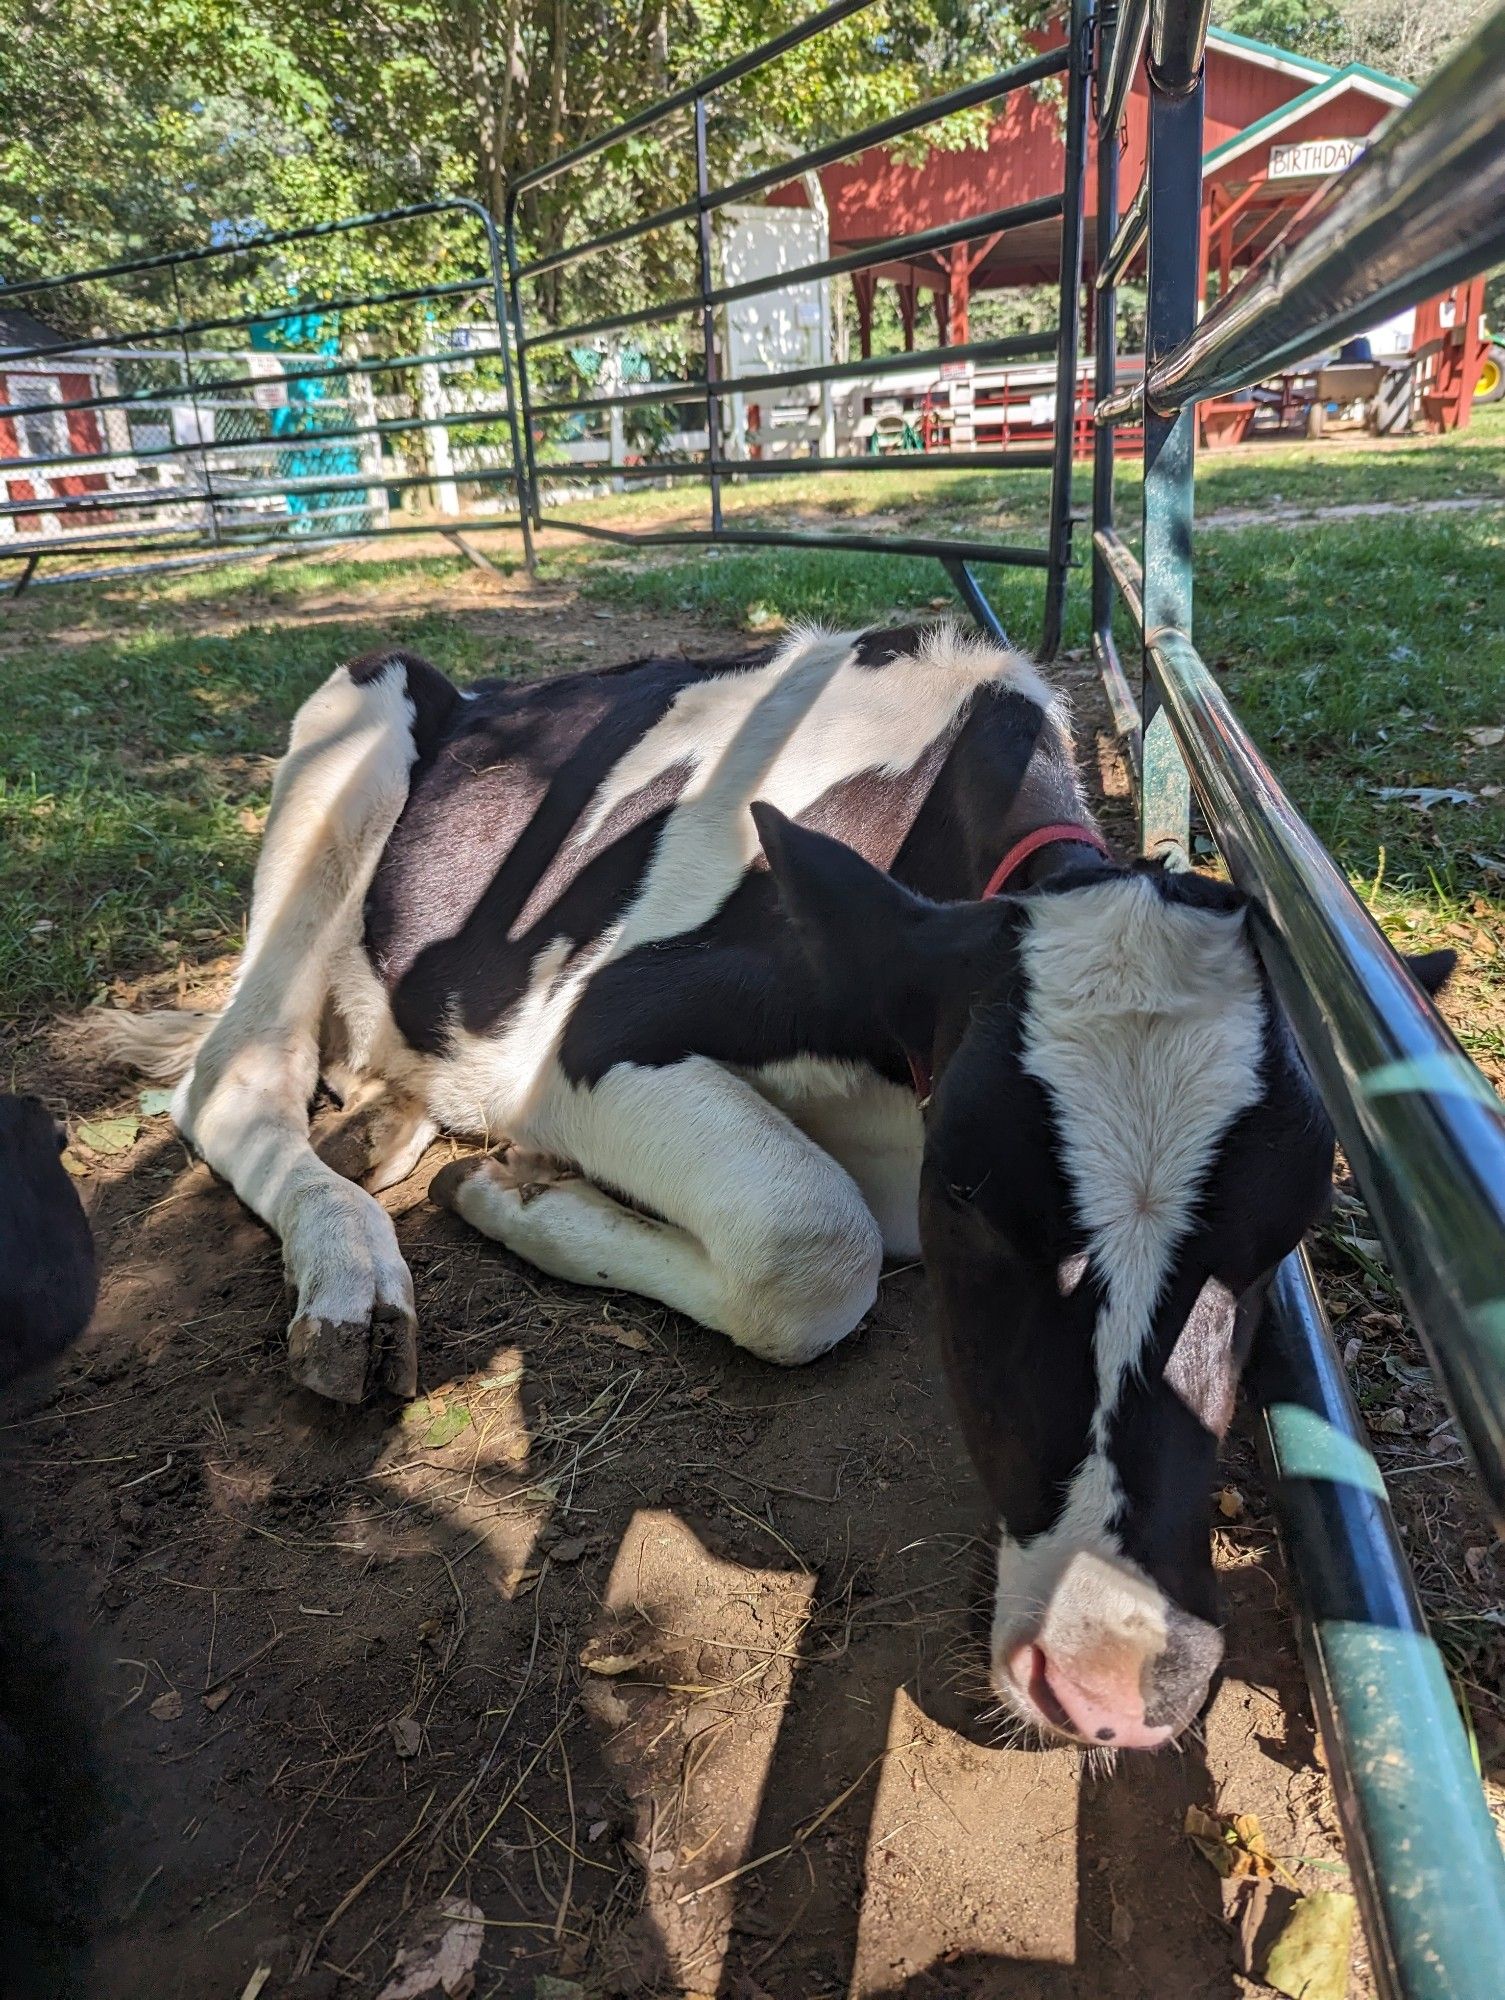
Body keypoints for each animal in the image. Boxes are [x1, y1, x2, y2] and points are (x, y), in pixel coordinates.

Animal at [91, 628, 1448, 1752]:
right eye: (974, 1196)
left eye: (1281, 1229)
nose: (1109, 1678)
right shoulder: (591, 1030)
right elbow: (814, 1243)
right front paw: (517, 1197)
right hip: (351, 735)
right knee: (237, 1073)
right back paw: (352, 1274)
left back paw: (380, 1121)